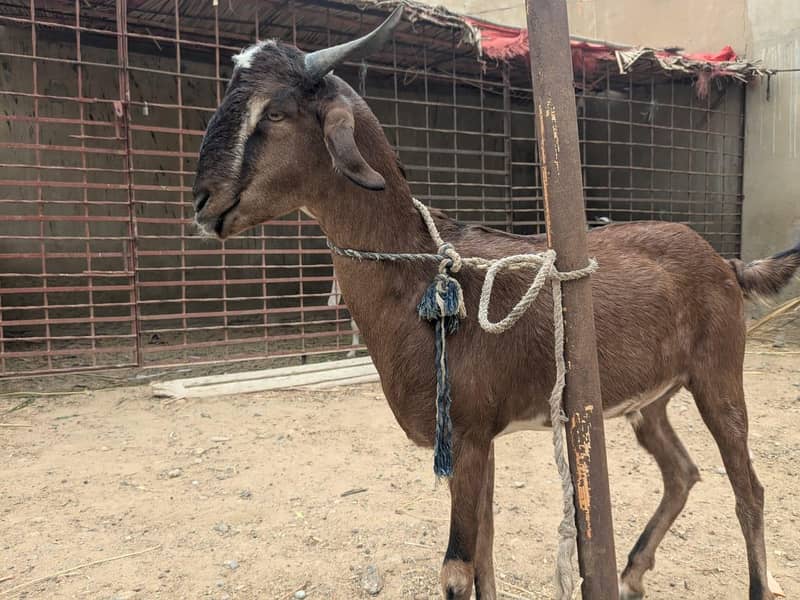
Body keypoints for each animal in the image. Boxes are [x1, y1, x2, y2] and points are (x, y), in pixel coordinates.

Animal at [191, 8, 799, 599]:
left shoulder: (465, 435)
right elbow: (484, 557)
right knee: (682, 472)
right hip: (650, 399)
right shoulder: (480, 440)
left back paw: (753, 584)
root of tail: (725, 261)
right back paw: (630, 574)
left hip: (718, 374)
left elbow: (459, 570)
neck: (419, 278)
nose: (202, 203)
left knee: (749, 489)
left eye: (275, 113)